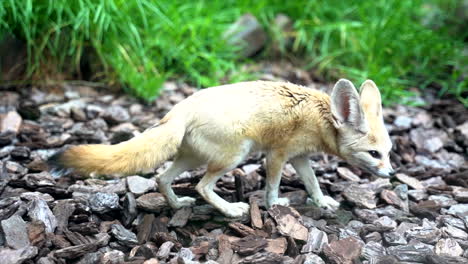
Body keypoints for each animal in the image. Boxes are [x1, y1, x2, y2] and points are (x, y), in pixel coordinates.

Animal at [50, 79, 394, 218]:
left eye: (390, 152)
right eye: (374, 154)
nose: (391, 175)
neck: (320, 116)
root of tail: (181, 108)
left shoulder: (300, 158)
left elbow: (314, 184)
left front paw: (322, 203)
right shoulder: (277, 155)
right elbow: (272, 187)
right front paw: (273, 206)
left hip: (189, 158)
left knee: (162, 178)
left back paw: (177, 205)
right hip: (235, 156)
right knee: (202, 187)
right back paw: (230, 209)